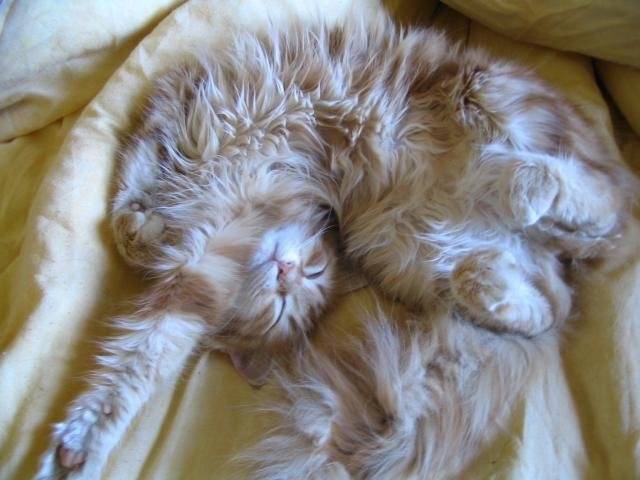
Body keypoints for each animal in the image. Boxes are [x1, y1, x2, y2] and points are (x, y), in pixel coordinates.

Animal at [38, 9, 637, 480]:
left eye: (313, 276)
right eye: (280, 306)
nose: (286, 273)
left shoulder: (187, 131)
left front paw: (145, 228)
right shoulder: (204, 240)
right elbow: (141, 353)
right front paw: (80, 447)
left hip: (487, 96)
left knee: (601, 204)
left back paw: (524, 186)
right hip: (407, 247)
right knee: (548, 297)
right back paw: (494, 274)